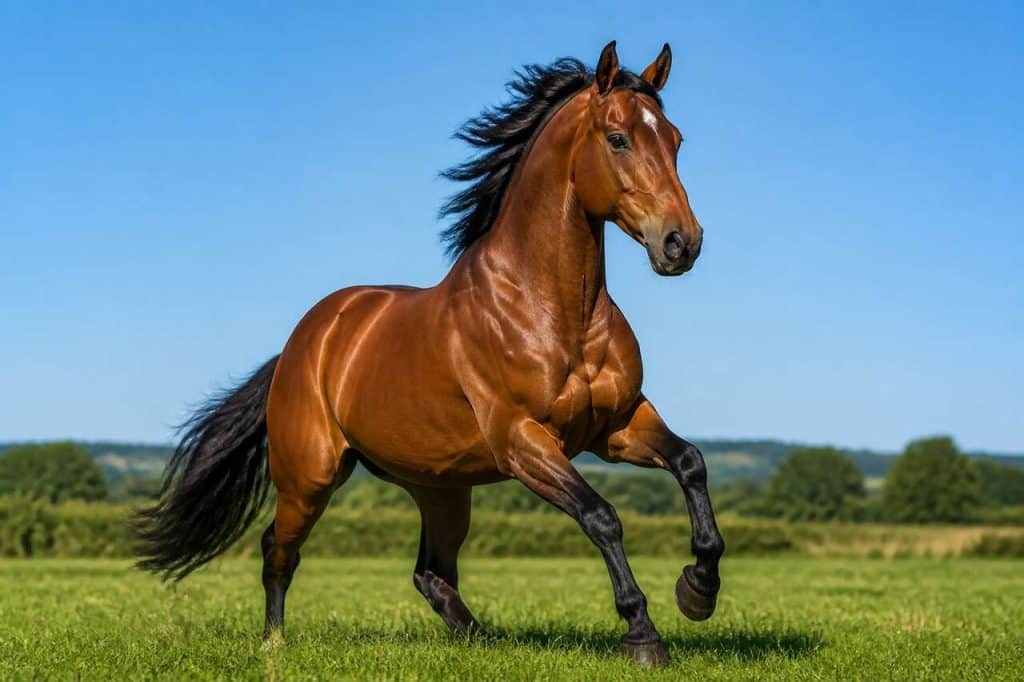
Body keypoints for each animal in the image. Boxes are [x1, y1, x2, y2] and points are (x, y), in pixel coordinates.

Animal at [134, 41, 724, 666]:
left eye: (675, 139)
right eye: (617, 139)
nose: (681, 243)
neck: (554, 310)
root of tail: (303, 344)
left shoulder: (616, 425)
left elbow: (691, 463)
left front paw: (698, 590)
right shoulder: (523, 441)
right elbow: (602, 516)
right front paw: (643, 634)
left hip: (439, 487)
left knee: (430, 572)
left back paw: (482, 639)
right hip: (309, 476)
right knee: (280, 550)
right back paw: (274, 645)